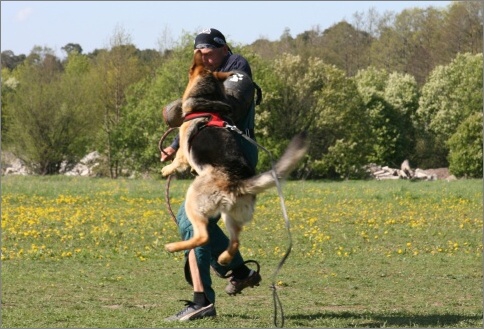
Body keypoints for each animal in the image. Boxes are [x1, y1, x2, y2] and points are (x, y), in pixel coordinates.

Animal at [161, 49, 308, 264]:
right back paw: (223, 258)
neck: (208, 102)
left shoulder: (183, 151)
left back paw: (173, 247)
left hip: (194, 200)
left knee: (203, 236)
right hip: (231, 215)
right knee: (236, 241)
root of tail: (239, 182)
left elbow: (177, 160)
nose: (197, 51)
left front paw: (166, 169)